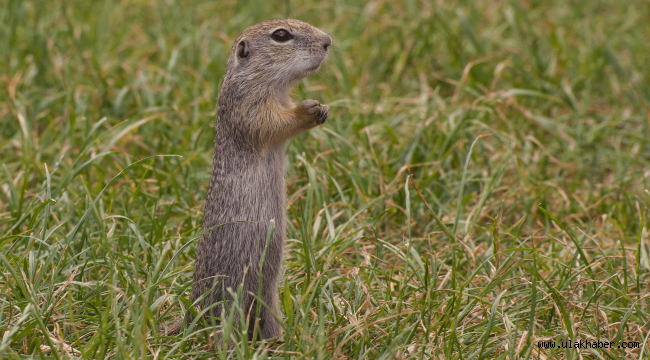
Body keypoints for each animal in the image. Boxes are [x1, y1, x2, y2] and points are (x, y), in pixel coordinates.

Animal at [160, 19, 332, 340]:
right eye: (281, 35)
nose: (328, 41)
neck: (270, 84)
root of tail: (193, 310)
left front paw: (323, 109)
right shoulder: (248, 105)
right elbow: (272, 122)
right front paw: (309, 108)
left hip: (267, 297)